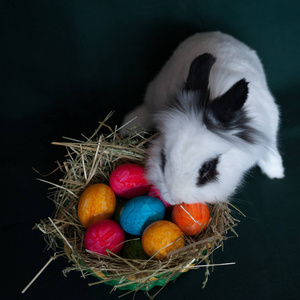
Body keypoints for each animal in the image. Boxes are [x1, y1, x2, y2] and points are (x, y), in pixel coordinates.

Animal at [120, 31, 284, 205]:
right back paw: (129, 125)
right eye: (163, 157)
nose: (174, 198)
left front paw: (276, 171)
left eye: (208, 167)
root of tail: (213, 33)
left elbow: (269, 150)